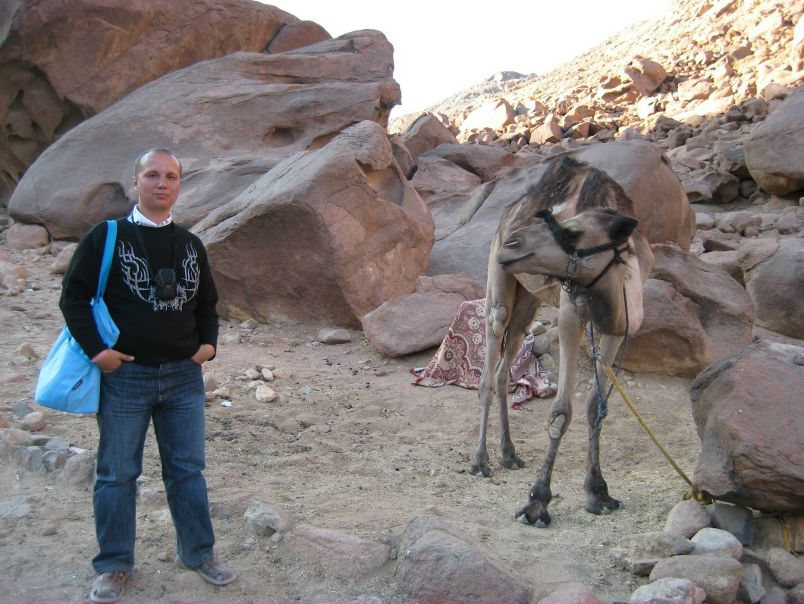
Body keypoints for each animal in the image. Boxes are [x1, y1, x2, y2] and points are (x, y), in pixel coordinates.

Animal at [471, 154, 656, 527]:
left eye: (573, 231)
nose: (513, 244)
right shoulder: (572, 314)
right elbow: (561, 411)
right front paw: (537, 502)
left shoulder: (617, 328)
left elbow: (596, 405)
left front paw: (599, 493)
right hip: (500, 284)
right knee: (489, 362)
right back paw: (481, 461)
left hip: (528, 300)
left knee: (504, 368)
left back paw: (509, 454)